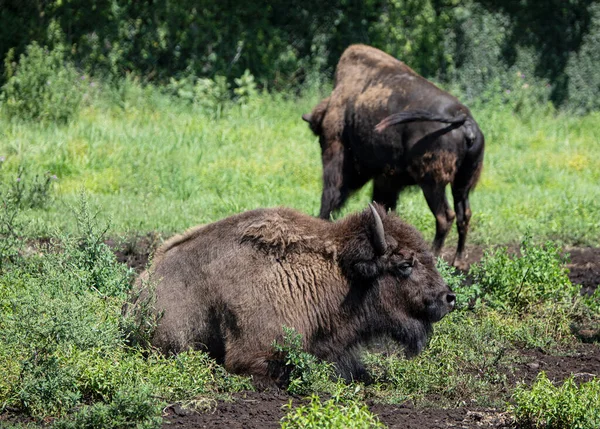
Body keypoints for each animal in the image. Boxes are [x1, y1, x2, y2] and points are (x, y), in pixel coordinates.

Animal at [302, 45, 486, 270]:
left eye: (321, 138)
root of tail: (463, 118)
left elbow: (331, 191)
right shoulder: (388, 179)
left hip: (432, 184)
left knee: (445, 216)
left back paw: (435, 255)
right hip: (461, 184)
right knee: (463, 215)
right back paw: (458, 261)